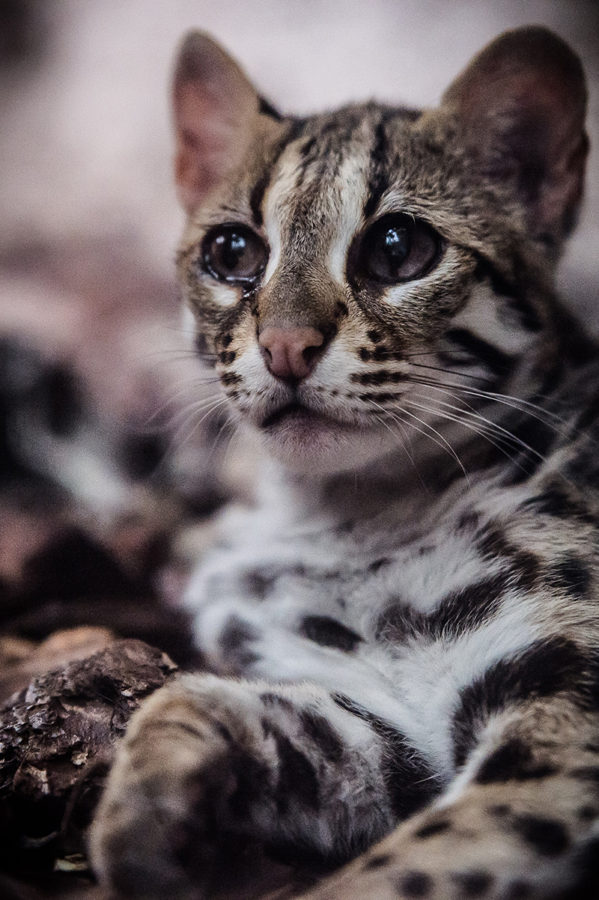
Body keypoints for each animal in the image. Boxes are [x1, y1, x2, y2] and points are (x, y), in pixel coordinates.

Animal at [89, 28, 599, 900]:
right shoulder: (390, 738)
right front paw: (144, 812)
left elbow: (408, 868)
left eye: (399, 248)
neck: (346, 510)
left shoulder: (564, 733)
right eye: (231, 251)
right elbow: (215, 704)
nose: (284, 346)